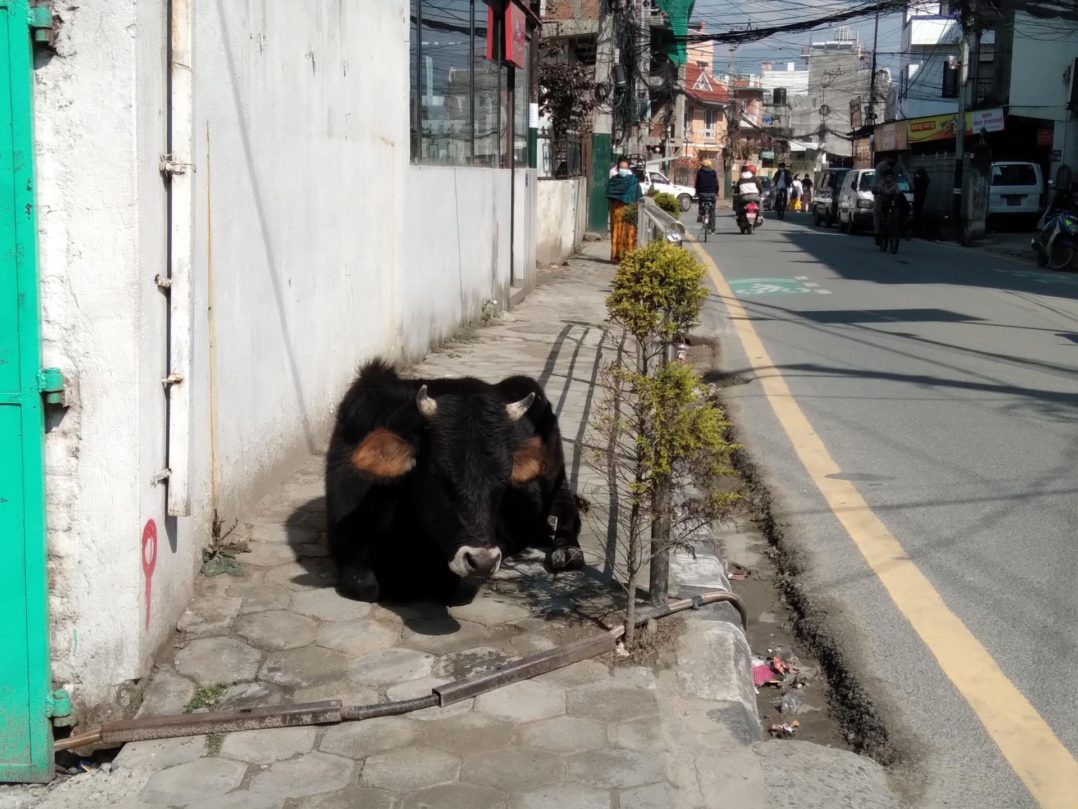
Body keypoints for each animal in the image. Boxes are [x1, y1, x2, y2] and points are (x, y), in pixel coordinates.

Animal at [323, 360, 586, 604]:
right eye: (436, 473)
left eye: (504, 477)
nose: (482, 561)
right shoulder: (343, 540)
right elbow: (364, 586)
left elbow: (456, 589)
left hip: (555, 470)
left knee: (566, 506)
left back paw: (567, 550)